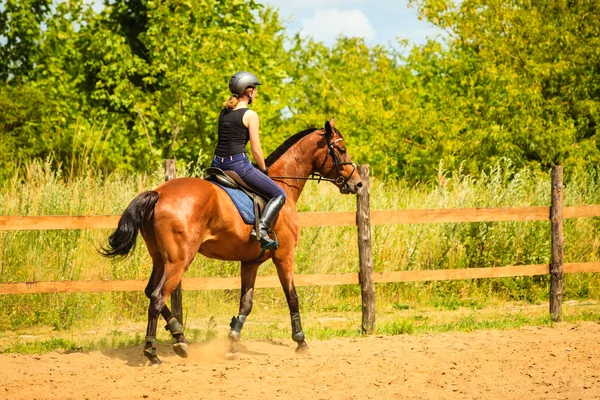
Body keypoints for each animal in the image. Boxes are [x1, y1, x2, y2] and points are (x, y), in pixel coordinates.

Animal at [100, 116, 360, 366]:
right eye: (342, 149)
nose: (357, 183)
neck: (283, 184)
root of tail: (159, 193)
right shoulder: (284, 256)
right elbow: (292, 297)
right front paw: (301, 342)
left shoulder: (250, 262)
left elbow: (246, 303)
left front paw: (232, 342)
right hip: (178, 261)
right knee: (156, 297)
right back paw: (153, 352)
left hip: (160, 259)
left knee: (150, 292)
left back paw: (180, 337)